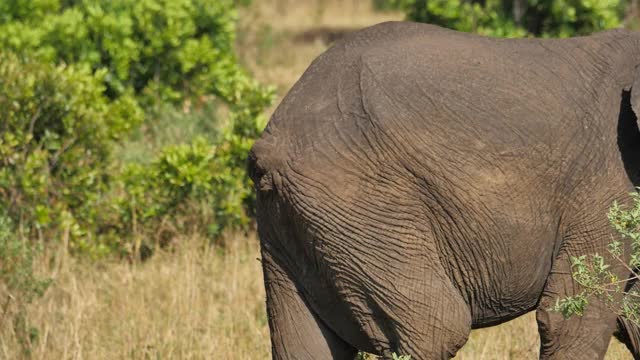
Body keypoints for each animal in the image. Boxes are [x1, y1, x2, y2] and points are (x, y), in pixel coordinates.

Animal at [249, 21, 640, 358]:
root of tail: (272, 138)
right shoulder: (604, 182)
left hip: (297, 220)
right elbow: (571, 317)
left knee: (304, 340)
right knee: (435, 327)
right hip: (356, 204)